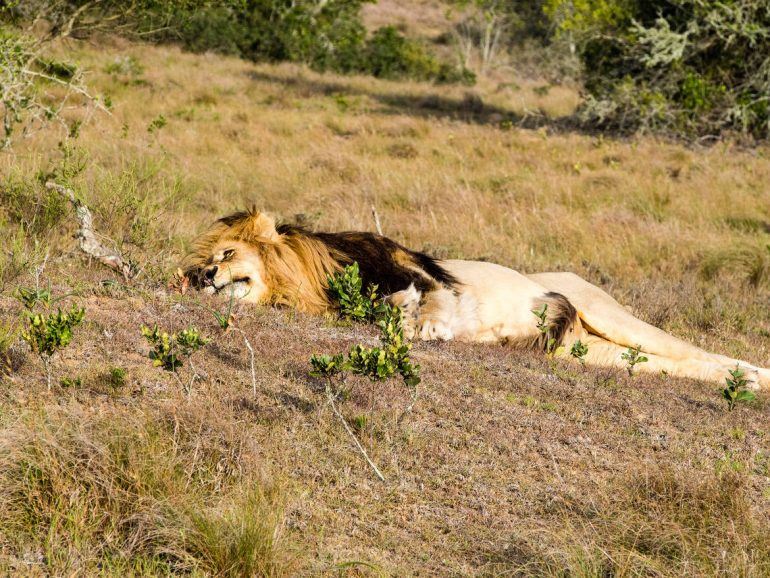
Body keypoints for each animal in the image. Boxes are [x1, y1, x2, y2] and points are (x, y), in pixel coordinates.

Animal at [182, 207, 768, 388]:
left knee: (700, 353)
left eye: (228, 253)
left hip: (607, 312)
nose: (205, 276)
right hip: (587, 351)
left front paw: (429, 326)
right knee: (685, 367)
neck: (302, 280)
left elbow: (428, 296)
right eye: (195, 272)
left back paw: (754, 376)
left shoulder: (408, 266)